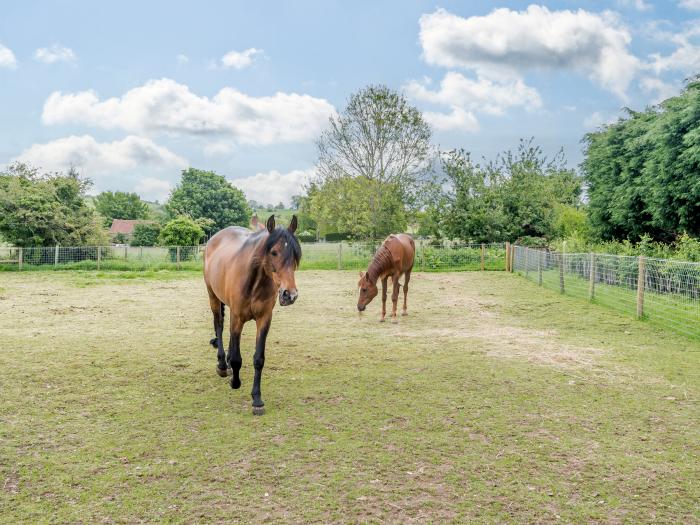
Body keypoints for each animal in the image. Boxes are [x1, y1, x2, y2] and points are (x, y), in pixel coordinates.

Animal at [202, 213, 300, 414]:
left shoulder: (264, 319)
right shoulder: (238, 317)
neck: (255, 281)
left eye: (295, 254)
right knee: (219, 326)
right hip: (213, 297)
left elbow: (258, 359)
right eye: (274, 252)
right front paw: (235, 381)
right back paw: (223, 365)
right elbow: (237, 358)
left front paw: (257, 399)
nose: (290, 294)